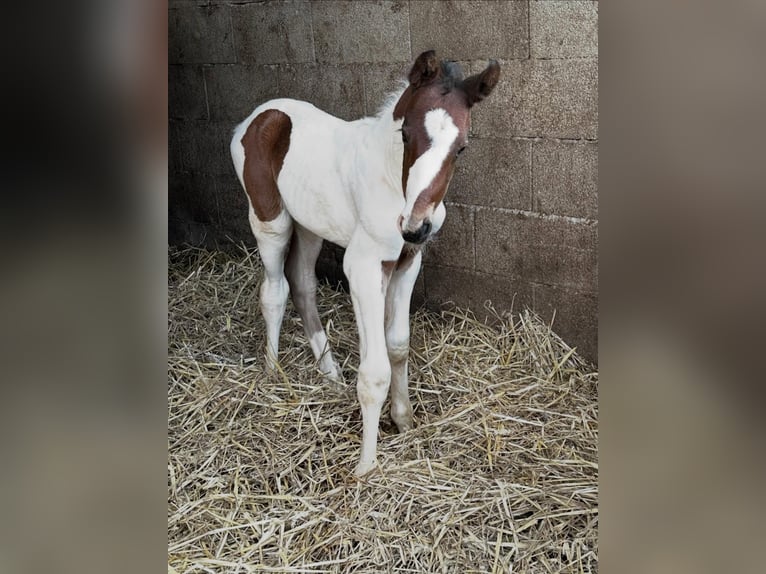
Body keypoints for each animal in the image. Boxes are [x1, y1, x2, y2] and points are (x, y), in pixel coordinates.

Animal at [230, 50, 500, 476]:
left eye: (461, 148)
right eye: (405, 134)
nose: (417, 226)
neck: (390, 180)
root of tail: (260, 115)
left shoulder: (408, 262)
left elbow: (399, 345)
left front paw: (403, 420)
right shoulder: (364, 266)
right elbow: (375, 372)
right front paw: (366, 466)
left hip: (311, 225)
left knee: (302, 283)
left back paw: (330, 374)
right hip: (270, 222)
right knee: (274, 290)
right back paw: (273, 371)